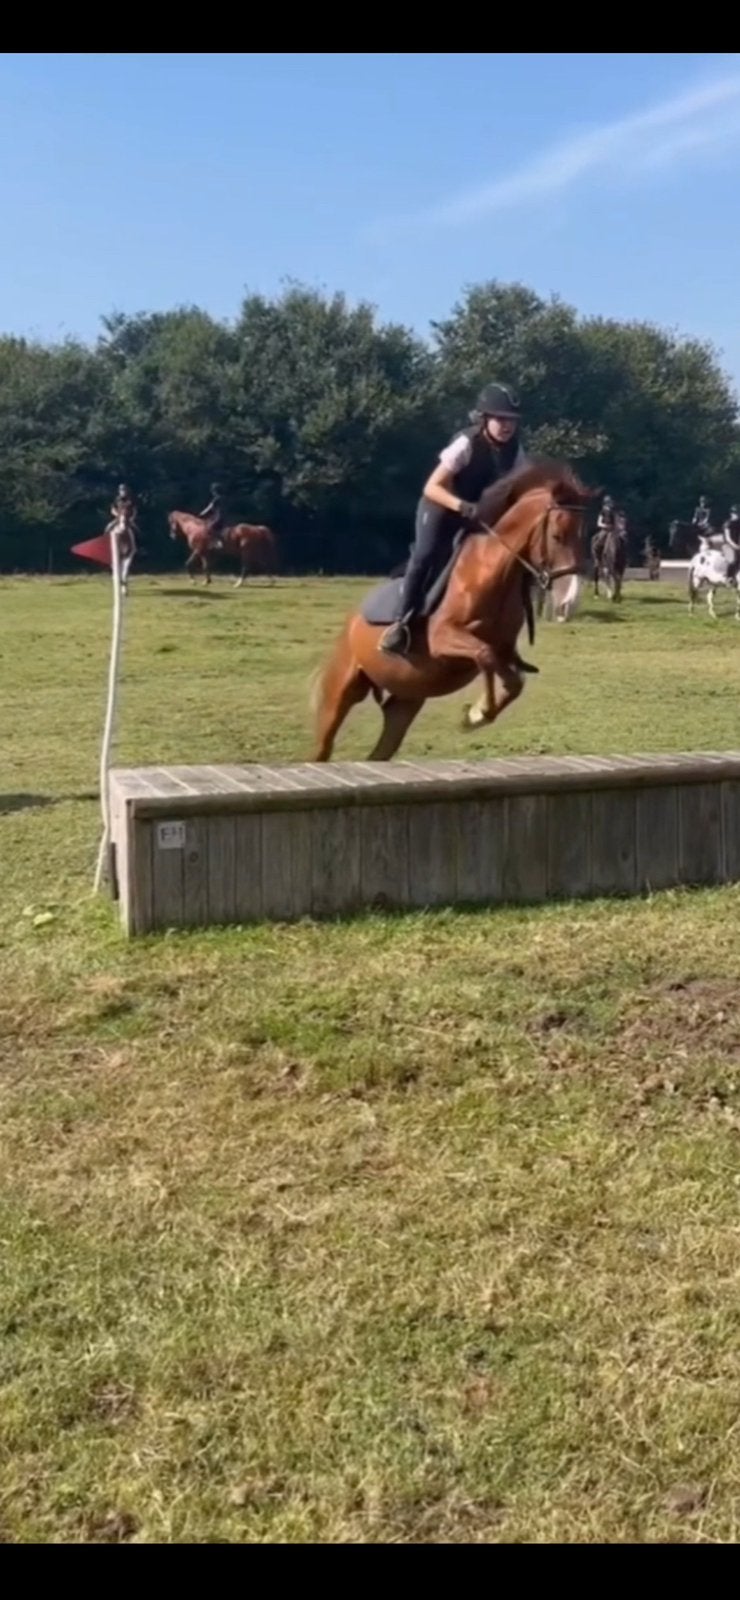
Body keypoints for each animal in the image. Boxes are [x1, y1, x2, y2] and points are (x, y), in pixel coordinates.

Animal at [311, 458, 595, 762]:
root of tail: (352, 621)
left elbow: (512, 678)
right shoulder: (443, 639)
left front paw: (476, 713)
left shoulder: (505, 649)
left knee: (382, 746)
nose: (569, 598)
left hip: (406, 699)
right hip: (342, 690)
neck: (491, 571)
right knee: (324, 744)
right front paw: (479, 713)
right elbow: (485, 655)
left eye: (585, 535)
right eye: (557, 536)